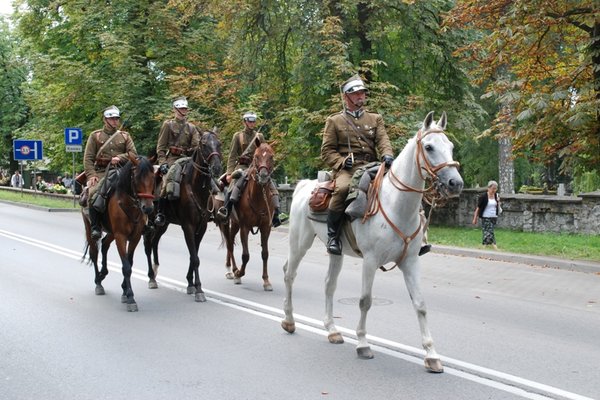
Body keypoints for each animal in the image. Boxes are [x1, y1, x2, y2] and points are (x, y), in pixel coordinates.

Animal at [82, 155, 157, 310]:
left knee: (104, 245)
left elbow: (130, 262)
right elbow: (126, 267)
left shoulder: (135, 237)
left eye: (153, 177)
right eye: (136, 177)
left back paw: (103, 273)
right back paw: (98, 282)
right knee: (94, 253)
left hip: (111, 233)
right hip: (90, 229)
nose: (148, 208)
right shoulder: (121, 237)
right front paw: (130, 297)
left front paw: (124, 291)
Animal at [143, 130, 223, 302]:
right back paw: (151, 278)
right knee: (147, 245)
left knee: (154, 243)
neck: (196, 187)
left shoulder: (201, 227)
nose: (217, 167)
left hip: (163, 224)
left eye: (219, 144)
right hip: (150, 221)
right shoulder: (188, 227)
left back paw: (155, 269)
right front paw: (199, 289)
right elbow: (195, 258)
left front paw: (190, 284)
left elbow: (194, 256)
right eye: (204, 144)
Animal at [220, 138, 276, 290]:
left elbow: (265, 254)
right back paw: (232, 270)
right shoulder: (244, 227)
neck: (257, 197)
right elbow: (246, 255)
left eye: (271, 157)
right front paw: (239, 273)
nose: (263, 176)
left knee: (230, 243)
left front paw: (266, 281)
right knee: (230, 244)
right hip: (234, 223)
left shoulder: (266, 228)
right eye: (256, 156)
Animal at [282, 111, 464, 372]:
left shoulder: (411, 262)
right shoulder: (370, 261)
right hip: (299, 244)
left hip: (335, 252)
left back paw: (332, 330)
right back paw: (289, 320)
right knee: (289, 274)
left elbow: (420, 304)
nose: (455, 183)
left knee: (329, 284)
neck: (397, 205)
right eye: (429, 147)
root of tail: (304, 185)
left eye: (450, 146)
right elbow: (365, 301)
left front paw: (431, 355)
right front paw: (362, 343)